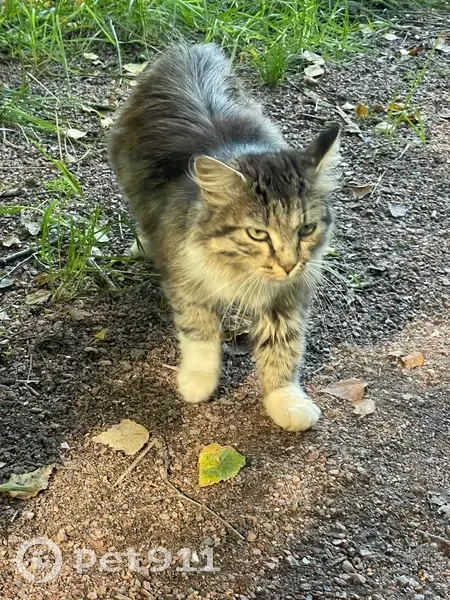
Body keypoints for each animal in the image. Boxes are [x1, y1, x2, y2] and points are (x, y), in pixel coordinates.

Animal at [109, 43, 340, 432]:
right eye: (258, 234)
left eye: (305, 229)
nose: (289, 264)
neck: (239, 271)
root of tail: (188, 49)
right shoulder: (187, 283)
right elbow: (199, 335)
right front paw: (198, 383)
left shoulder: (288, 296)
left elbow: (284, 348)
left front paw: (285, 400)